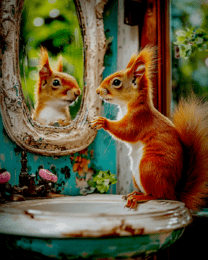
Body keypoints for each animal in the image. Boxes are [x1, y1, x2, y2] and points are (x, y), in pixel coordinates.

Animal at [91, 44, 208, 211]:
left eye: (116, 82)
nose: (97, 91)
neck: (129, 105)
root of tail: (173, 193)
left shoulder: (139, 119)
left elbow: (126, 132)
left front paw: (102, 122)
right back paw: (134, 193)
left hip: (149, 167)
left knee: (156, 195)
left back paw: (139, 197)